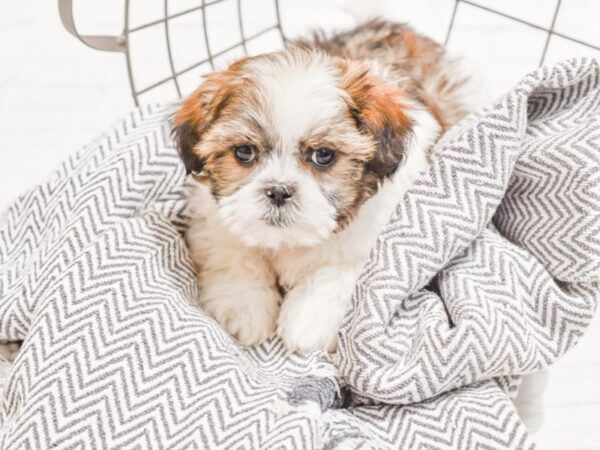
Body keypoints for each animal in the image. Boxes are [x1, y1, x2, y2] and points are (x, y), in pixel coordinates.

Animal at [173, 20, 474, 352]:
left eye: (324, 156)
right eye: (244, 152)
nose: (278, 191)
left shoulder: (377, 240)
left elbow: (337, 273)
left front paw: (308, 322)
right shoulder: (213, 217)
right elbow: (232, 252)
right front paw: (244, 306)